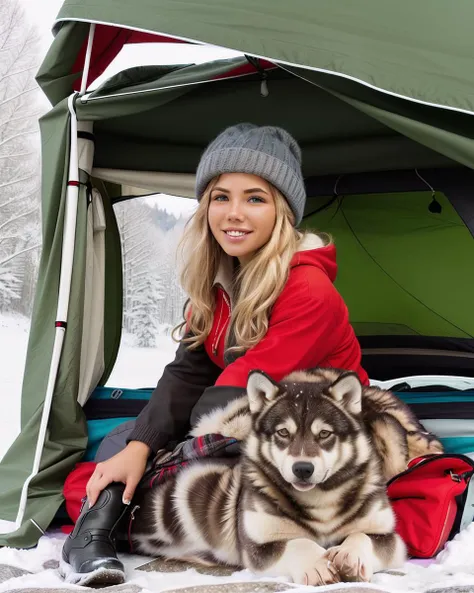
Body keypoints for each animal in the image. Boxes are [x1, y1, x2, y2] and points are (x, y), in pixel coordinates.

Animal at [129, 368, 440, 584]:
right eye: (282, 433)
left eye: (324, 433)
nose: (303, 468)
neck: (320, 502)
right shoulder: (258, 547)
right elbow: (299, 543)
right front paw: (316, 564)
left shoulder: (390, 539)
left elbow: (362, 535)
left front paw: (350, 554)